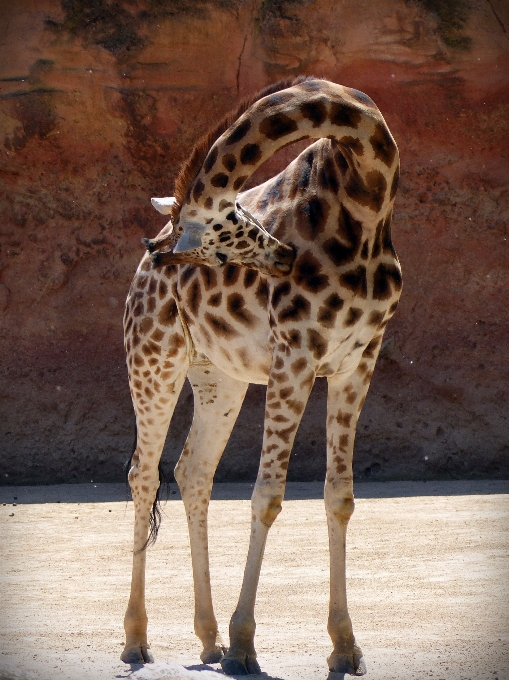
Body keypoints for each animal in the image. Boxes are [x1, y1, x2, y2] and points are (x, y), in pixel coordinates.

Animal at [122, 75, 400, 676]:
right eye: (226, 247)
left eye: (239, 224)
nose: (283, 256)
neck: (369, 192)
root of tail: (140, 272)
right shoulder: (295, 353)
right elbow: (268, 495)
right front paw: (245, 643)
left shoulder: (359, 358)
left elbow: (340, 496)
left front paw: (345, 645)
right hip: (152, 360)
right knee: (143, 472)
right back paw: (136, 638)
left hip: (218, 379)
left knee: (193, 471)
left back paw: (206, 639)